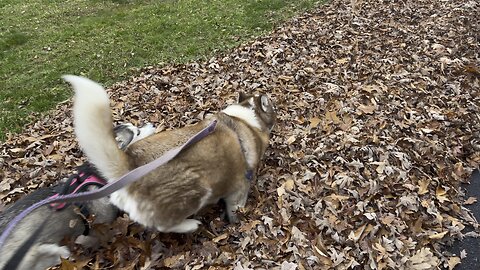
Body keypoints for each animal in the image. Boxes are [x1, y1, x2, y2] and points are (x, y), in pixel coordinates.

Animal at [63, 75, 276, 234]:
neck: (246, 119)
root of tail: (130, 163)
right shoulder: (239, 189)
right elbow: (235, 209)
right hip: (197, 190)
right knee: (163, 225)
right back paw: (189, 225)